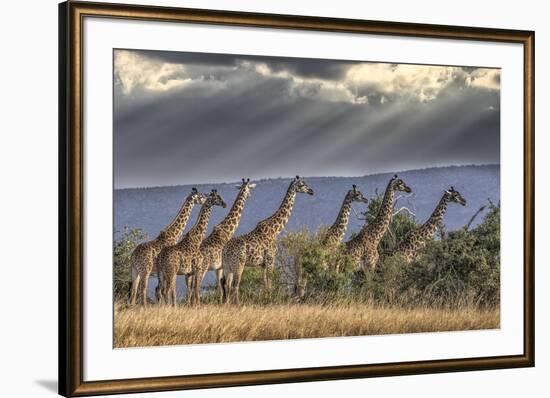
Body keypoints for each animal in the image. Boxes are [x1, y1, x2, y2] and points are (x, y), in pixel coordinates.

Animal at [221, 176, 314, 304]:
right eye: (302, 184)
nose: (311, 191)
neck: (275, 230)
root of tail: (225, 250)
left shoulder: (263, 264)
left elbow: (265, 283)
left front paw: (265, 300)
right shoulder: (271, 259)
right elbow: (269, 283)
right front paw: (270, 301)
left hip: (227, 266)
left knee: (227, 285)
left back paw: (227, 305)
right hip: (238, 265)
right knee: (235, 285)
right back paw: (238, 305)